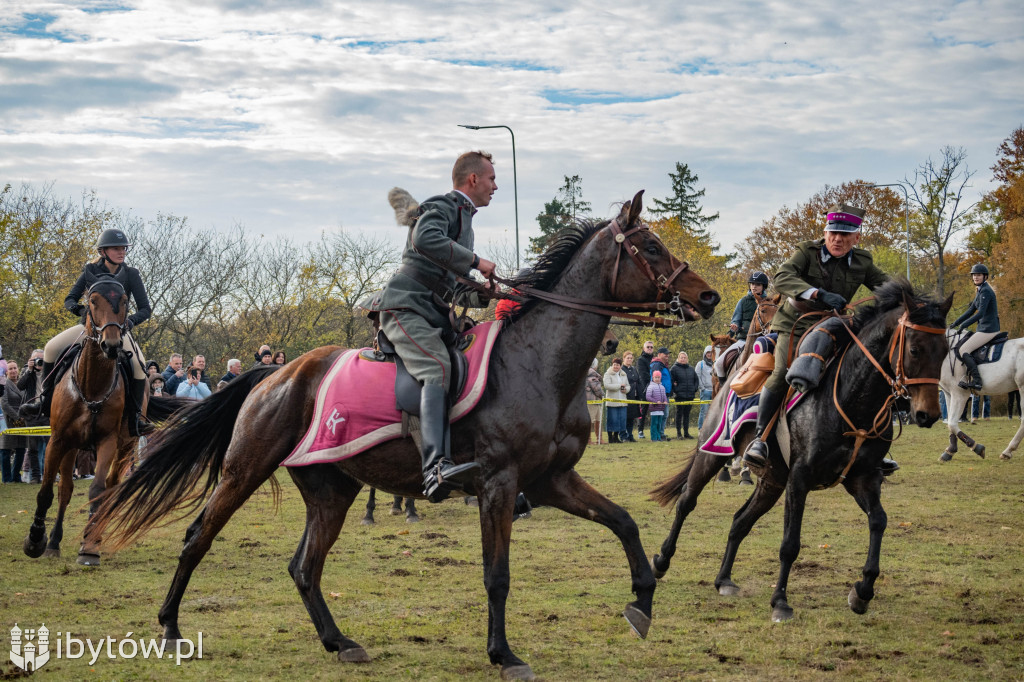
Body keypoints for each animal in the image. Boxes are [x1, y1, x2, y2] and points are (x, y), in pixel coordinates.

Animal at [22, 276, 184, 561]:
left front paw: (88, 548)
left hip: (127, 446)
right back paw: (53, 542)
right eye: (93, 301)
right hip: (72, 447)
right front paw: (35, 540)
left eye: (124, 301)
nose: (111, 345)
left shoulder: (107, 441)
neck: (92, 387)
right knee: (65, 489)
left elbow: (97, 491)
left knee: (110, 487)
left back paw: (94, 536)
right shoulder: (58, 440)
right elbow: (47, 491)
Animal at [94, 192, 720, 679]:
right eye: (652, 247)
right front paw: (504, 654)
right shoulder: (500, 485)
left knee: (304, 567)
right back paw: (171, 628)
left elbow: (624, 522)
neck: (539, 360)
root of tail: (275, 374)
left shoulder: (551, 481)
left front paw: (642, 602)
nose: (709, 297)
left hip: (332, 489)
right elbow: (497, 576)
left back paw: (338, 641)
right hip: (244, 469)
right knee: (197, 537)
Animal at [651, 280, 946, 622]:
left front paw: (863, 590)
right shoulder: (799, 480)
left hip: (772, 482)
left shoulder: (863, 479)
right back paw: (661, 561)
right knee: (687, 502)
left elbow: (879, 521)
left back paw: (723, 579)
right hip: (712, 455)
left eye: (945, 351)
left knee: (740, 521)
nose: (927, 413)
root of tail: (729, 382)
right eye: (914, 349)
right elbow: (790, 543)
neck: (852, 398)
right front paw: (780, 601)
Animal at [937, 327, 1024, 458]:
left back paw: (1008, 450)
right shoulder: (948, 394)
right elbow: (950, 424)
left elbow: (951, 423)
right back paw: (1008, 451)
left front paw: (976, 447)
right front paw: (951, 450)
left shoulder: (959, 394)